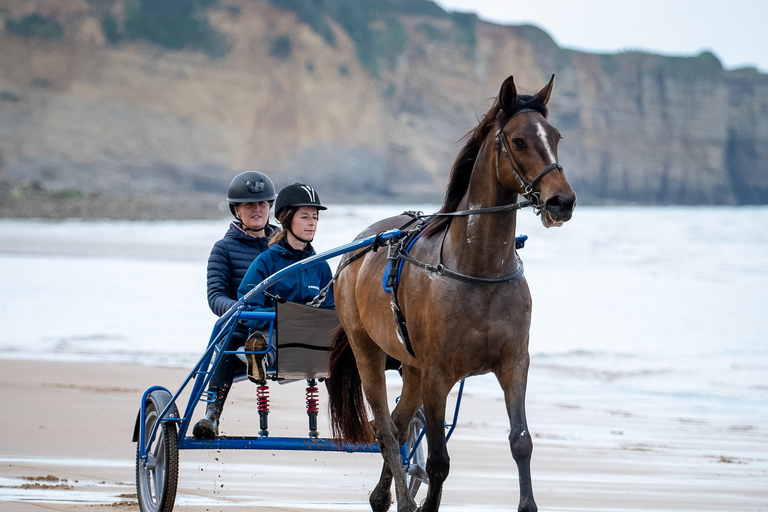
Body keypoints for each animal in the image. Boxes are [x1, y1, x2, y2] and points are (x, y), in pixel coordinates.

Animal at [328, 75, 572, 512]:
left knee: (401, 425)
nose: (563, 201)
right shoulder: (438, 372)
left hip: (411, 368)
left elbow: (521, 442)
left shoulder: (514, 363)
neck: (478, 270)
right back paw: (401, 498)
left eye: (556, 136)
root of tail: (358, 245)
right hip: (367, 350)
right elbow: (439, 461)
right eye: (519, 140)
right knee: (385, 430)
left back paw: (383, 496)